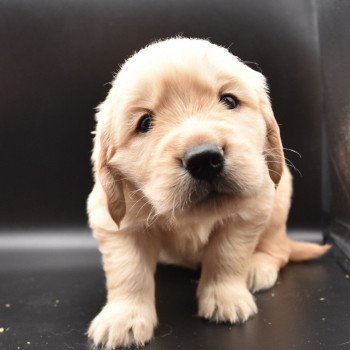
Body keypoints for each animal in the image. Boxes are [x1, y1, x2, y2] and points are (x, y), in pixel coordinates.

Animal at [86, 37, 330, 348]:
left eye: (229, 100)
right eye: (144, 123)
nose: (204, 159)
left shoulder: (249, 212)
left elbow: (227, 256)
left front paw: (226, 299)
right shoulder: (117, 223)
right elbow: (128, 271)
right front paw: (123, 318)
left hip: (278, 203)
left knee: (279, 249)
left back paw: (258, 267)